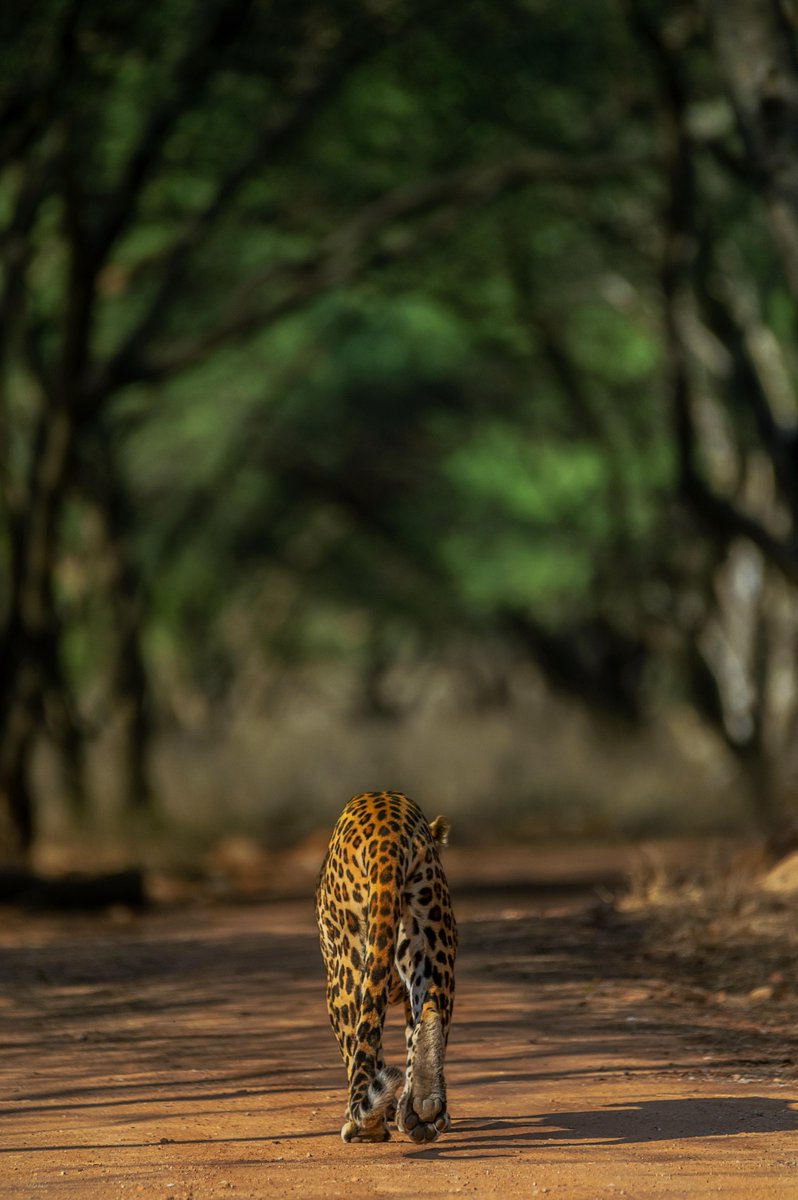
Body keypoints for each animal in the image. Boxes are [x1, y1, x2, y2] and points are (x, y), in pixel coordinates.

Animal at [315, 790, 457, 1144]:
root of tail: (387, 836)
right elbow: (409, 1037)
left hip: (344, 974)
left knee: (360, 1039)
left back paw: (366, 1127)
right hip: (434, 943)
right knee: (433, 1009)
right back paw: (423, 1106)